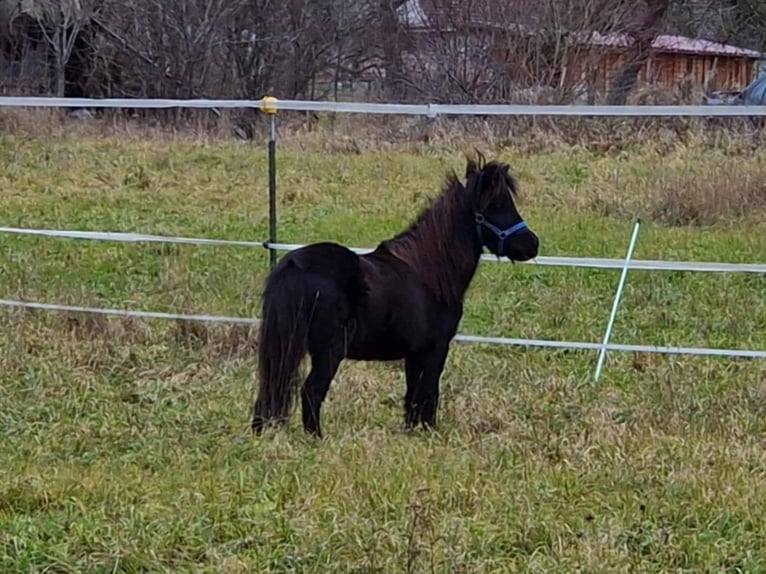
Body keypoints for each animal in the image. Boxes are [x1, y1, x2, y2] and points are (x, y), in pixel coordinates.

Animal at [251, 152, 539, 438]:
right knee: (311, 391)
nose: (532, 244)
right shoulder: (435, 349)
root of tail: (294, 265)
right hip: (329, 350)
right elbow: (429, 396)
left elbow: (412, 399)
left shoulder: (414, 354)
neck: (429, 271)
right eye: (497, 204)